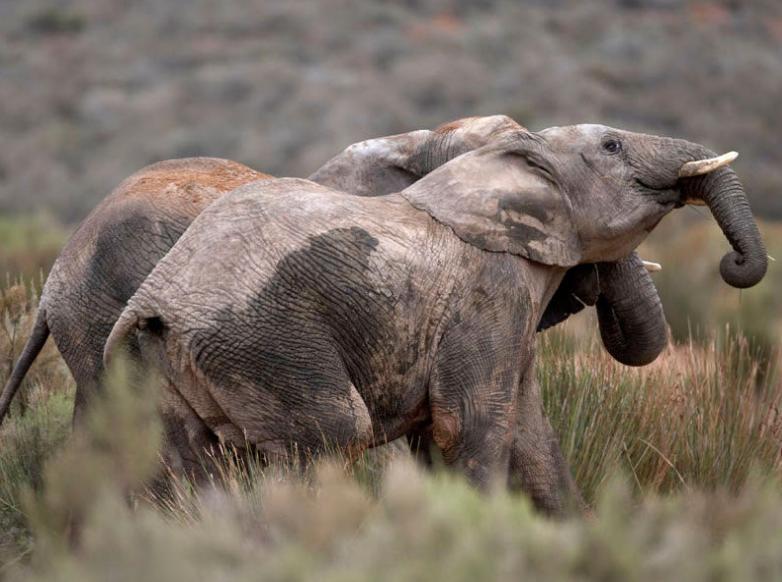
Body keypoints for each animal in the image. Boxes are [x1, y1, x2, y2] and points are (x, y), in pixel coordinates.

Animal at [102, 123, 764, 516]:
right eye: (612, 148)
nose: (733, 263)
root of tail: (155, 298)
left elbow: (532, 437)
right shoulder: (489, 292)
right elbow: (472, 423)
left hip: (160, 368)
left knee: (184, 466)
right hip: (264, 342)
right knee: (333, 434)